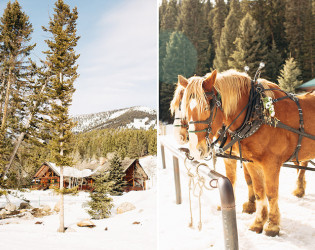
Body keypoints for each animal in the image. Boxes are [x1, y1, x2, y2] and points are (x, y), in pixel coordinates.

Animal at [180, 69, 315, 236]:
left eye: (206, 108)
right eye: (185, 110)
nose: (195, 149)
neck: (257, 114)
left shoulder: (271, 164)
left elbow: (271, 193)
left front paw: (272, 225)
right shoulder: (251, 161)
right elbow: (257, 190)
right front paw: (258, 221)